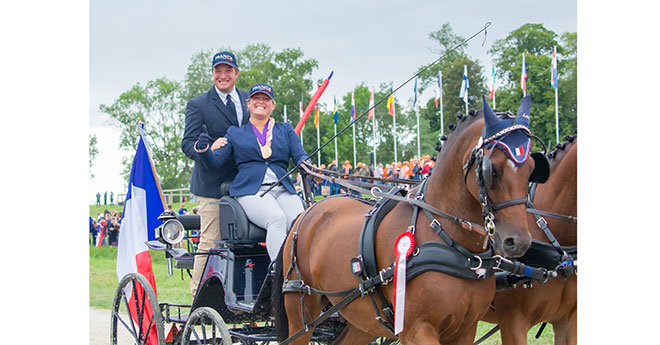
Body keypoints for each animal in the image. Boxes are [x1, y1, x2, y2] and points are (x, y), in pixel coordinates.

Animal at [274, 94, 548, 344]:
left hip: (360, 319)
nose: (518, 242)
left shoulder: (465, 330)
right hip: (302, 314)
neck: (453, 244)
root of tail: (306, 213)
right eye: (492, 170)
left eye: (532, 169)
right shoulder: (417, 330)